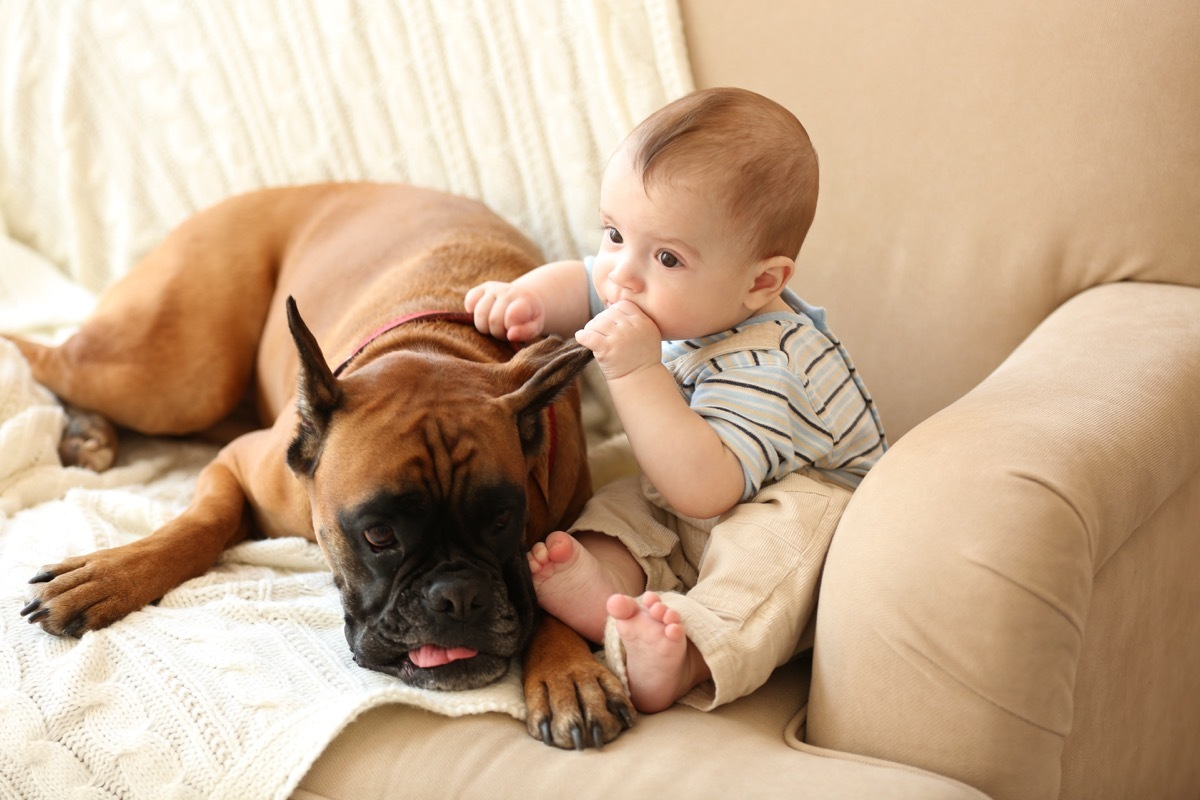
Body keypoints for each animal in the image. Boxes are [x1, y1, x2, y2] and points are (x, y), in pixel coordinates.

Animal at [4, 181, 638, 753]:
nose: (457, 596)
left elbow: (557, 579)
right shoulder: (236, 466)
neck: (436, 342)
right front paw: (113, 575)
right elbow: (200, 524)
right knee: (43, 354)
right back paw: (85, 429)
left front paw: (567, 670)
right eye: (377, 536)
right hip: (170, 378)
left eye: (504, 522)